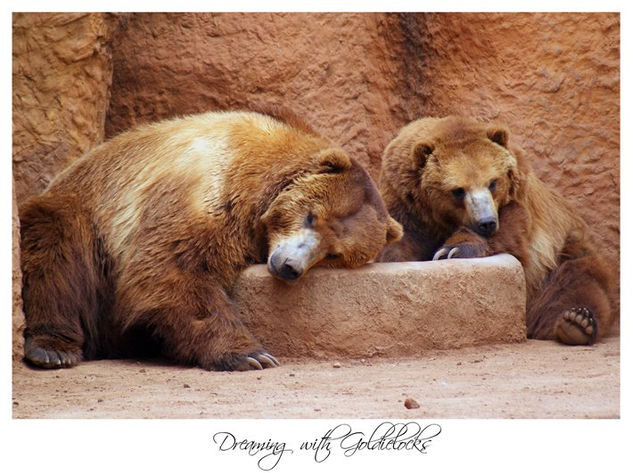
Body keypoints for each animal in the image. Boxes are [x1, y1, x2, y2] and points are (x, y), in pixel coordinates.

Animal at [23, 109, 404, 370]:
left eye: (334, 253)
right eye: (312, 216)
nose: (289, 266)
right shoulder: (203, 189)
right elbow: (173, 270)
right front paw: (252, 354)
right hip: (86, 214)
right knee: (54, 246)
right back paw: (52, 348)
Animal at [378, 114, 616, 342]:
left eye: (492, 182)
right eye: (458, 190)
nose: (486, 222)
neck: (439, 218)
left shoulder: (518, 201)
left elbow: (512, 230)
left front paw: (452, 250)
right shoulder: (404, 200)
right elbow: (399, 239)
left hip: (562, 256)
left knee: (577, 282)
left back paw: (577, 322)